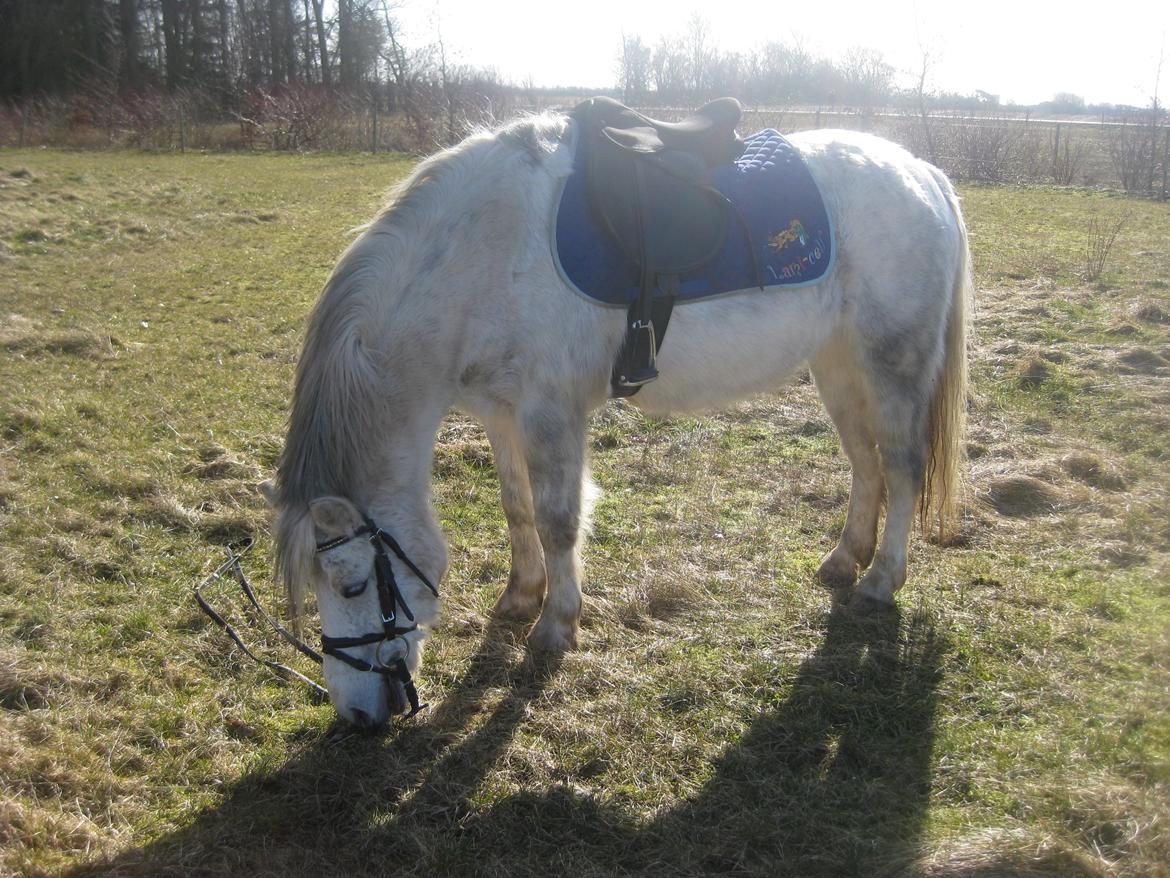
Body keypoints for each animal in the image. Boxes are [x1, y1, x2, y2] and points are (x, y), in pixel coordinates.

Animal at [263, 111, 968, 730]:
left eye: (351, 587)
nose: (357, 717)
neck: (482, 251)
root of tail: (923, 173)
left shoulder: (550, 412)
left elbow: (557, 520)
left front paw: (556, 625)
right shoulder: (500, 414)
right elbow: (517, 508)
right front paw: (520, 597)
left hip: (891, 364)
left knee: (903, 467)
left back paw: (880, 580)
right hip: (838, 366)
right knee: (865, 463)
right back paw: (845, 560)